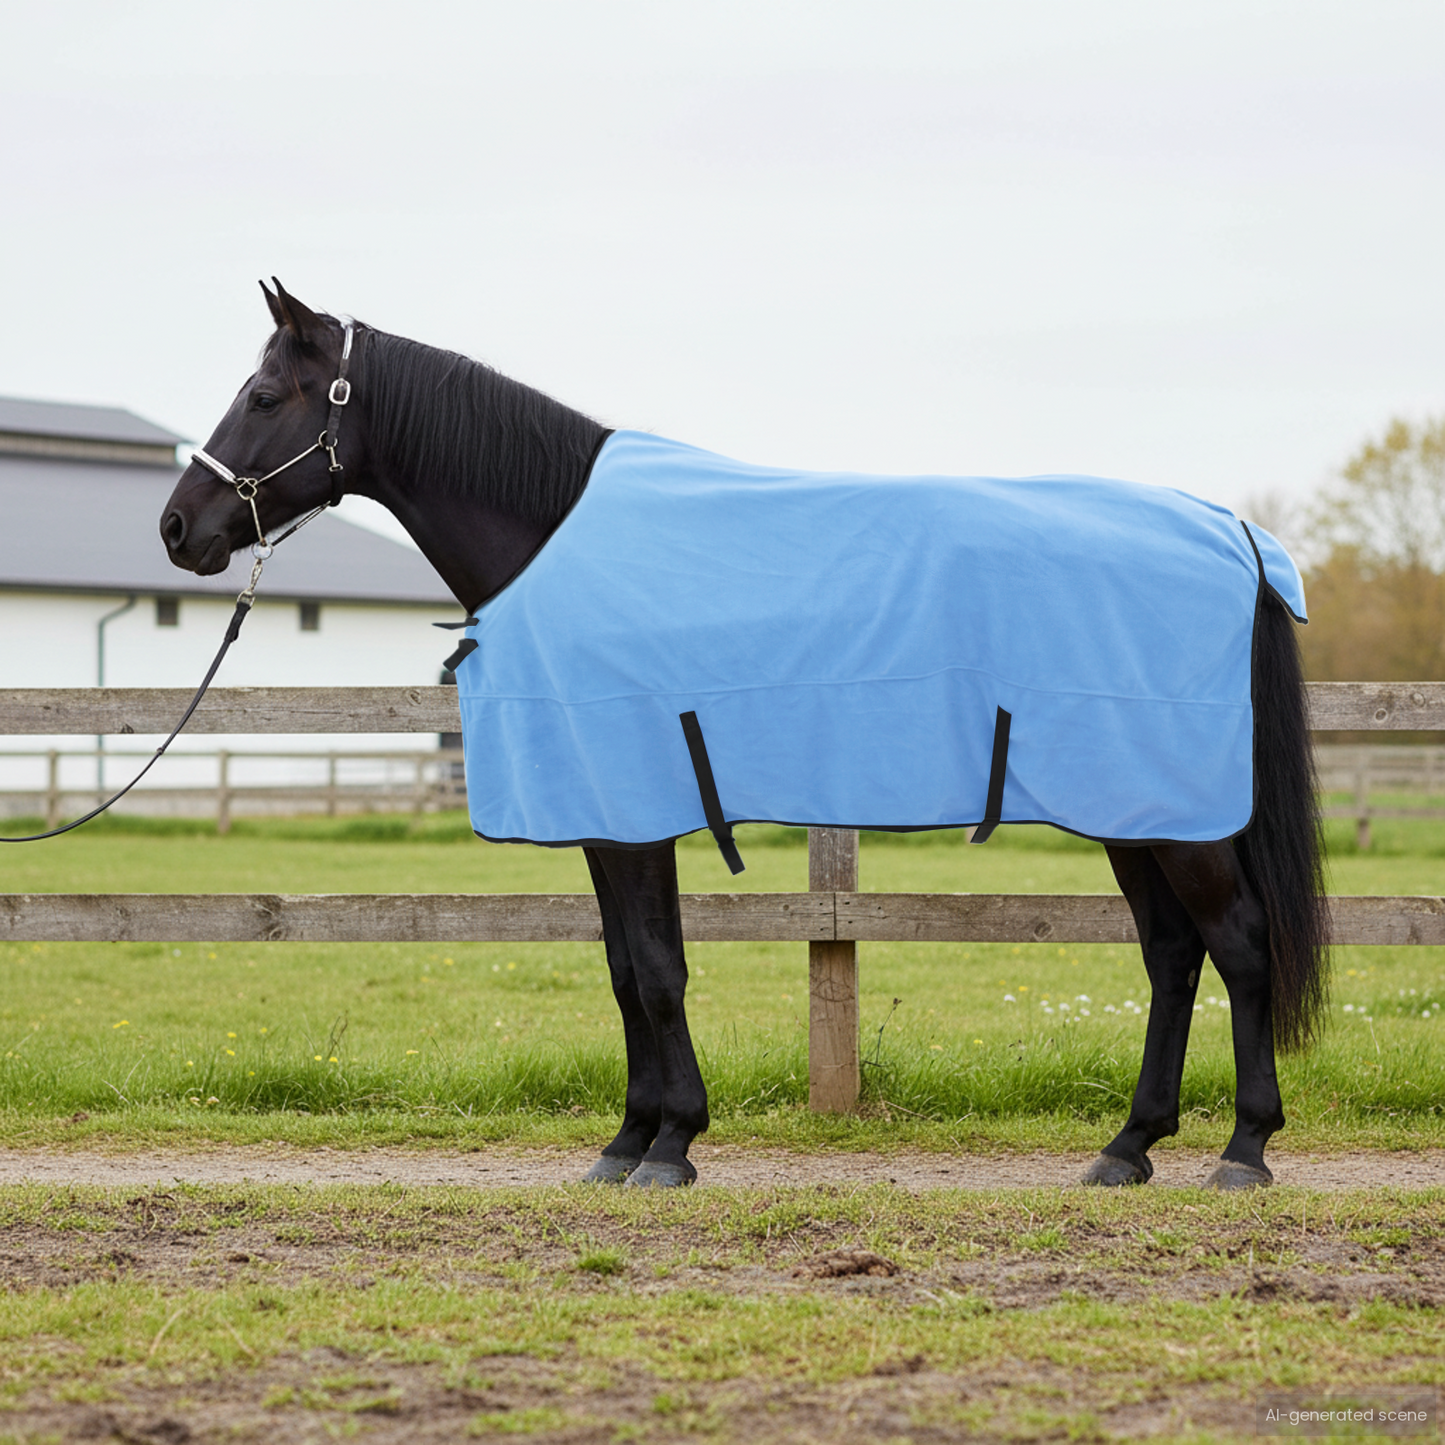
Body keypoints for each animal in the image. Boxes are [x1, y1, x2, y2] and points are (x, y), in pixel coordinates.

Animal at [159, 280, 1329, 1190]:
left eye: (263, 396)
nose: (178, 528)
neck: (557, 536)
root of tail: (1229, 531)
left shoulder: (632, 812)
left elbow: (656, 970)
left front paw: (670, 1143)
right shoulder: (607, 816)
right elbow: (625, 968)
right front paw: (628, 1139)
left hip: (1174, 815)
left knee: (1238, 945)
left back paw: (1242, 1149)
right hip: (1133, 808)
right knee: (1172, 954)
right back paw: (1127, 1147)